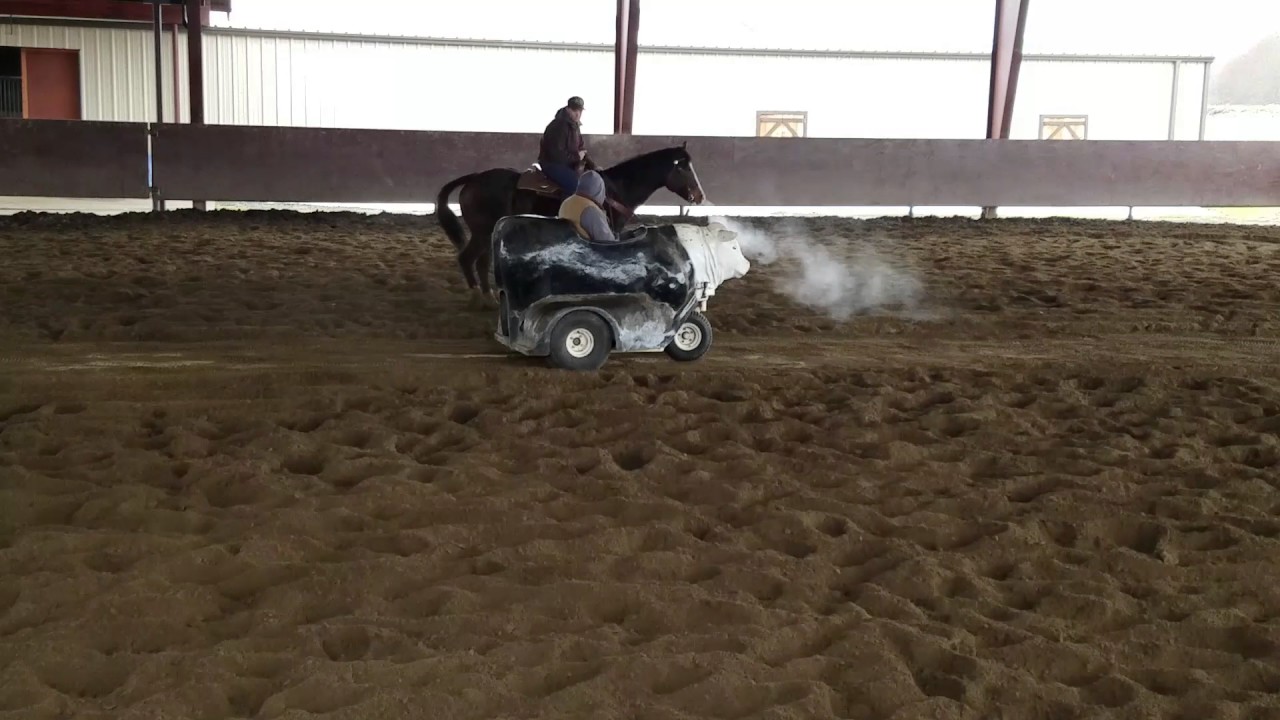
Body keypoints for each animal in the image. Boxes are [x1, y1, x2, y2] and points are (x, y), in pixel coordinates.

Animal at [434, 143, 707, 307]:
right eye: (684, 168)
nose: (699, 196)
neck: (615, 188)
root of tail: (474, 178)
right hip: (481, 231)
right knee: (467, 259)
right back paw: (476, 297)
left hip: (486, 232)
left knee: (480, 262)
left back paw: (487, 297)